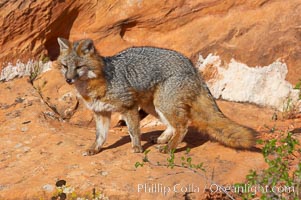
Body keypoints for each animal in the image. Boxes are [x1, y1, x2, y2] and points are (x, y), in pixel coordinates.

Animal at [55, 38, 255, 156]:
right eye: (65, 66)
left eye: (79, 67)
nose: (68, 79)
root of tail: (191, 65)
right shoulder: (101, 113)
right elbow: (100, 136)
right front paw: (94, 149)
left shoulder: (129, 107)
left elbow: (133, 130)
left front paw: (137, 148)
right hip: (153, 106)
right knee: (172, 125)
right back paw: (162, 140)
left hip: (162, 104)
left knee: (182, 126)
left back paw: (169, 148)